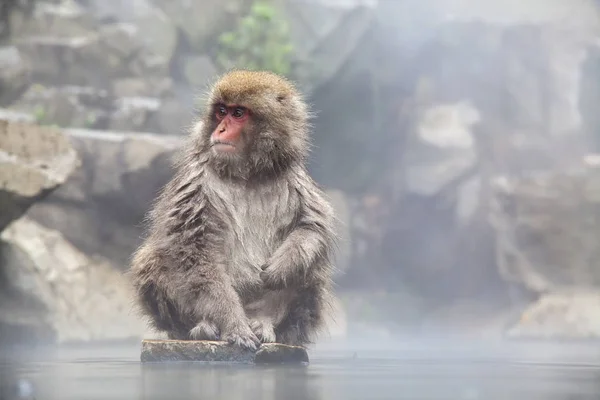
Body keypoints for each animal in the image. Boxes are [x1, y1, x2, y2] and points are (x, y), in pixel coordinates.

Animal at [131, 70, 338, 348]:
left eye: (238, 113)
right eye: (221, 111)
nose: (221, 128)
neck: (248, 174)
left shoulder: (295, 180)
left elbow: (312, 226)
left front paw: (283, 266)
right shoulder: (196, 182)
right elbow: (195, 253)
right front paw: (233, 324)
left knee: (314, 270)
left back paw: (266, 323)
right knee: (153, 259)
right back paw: (203, 327)